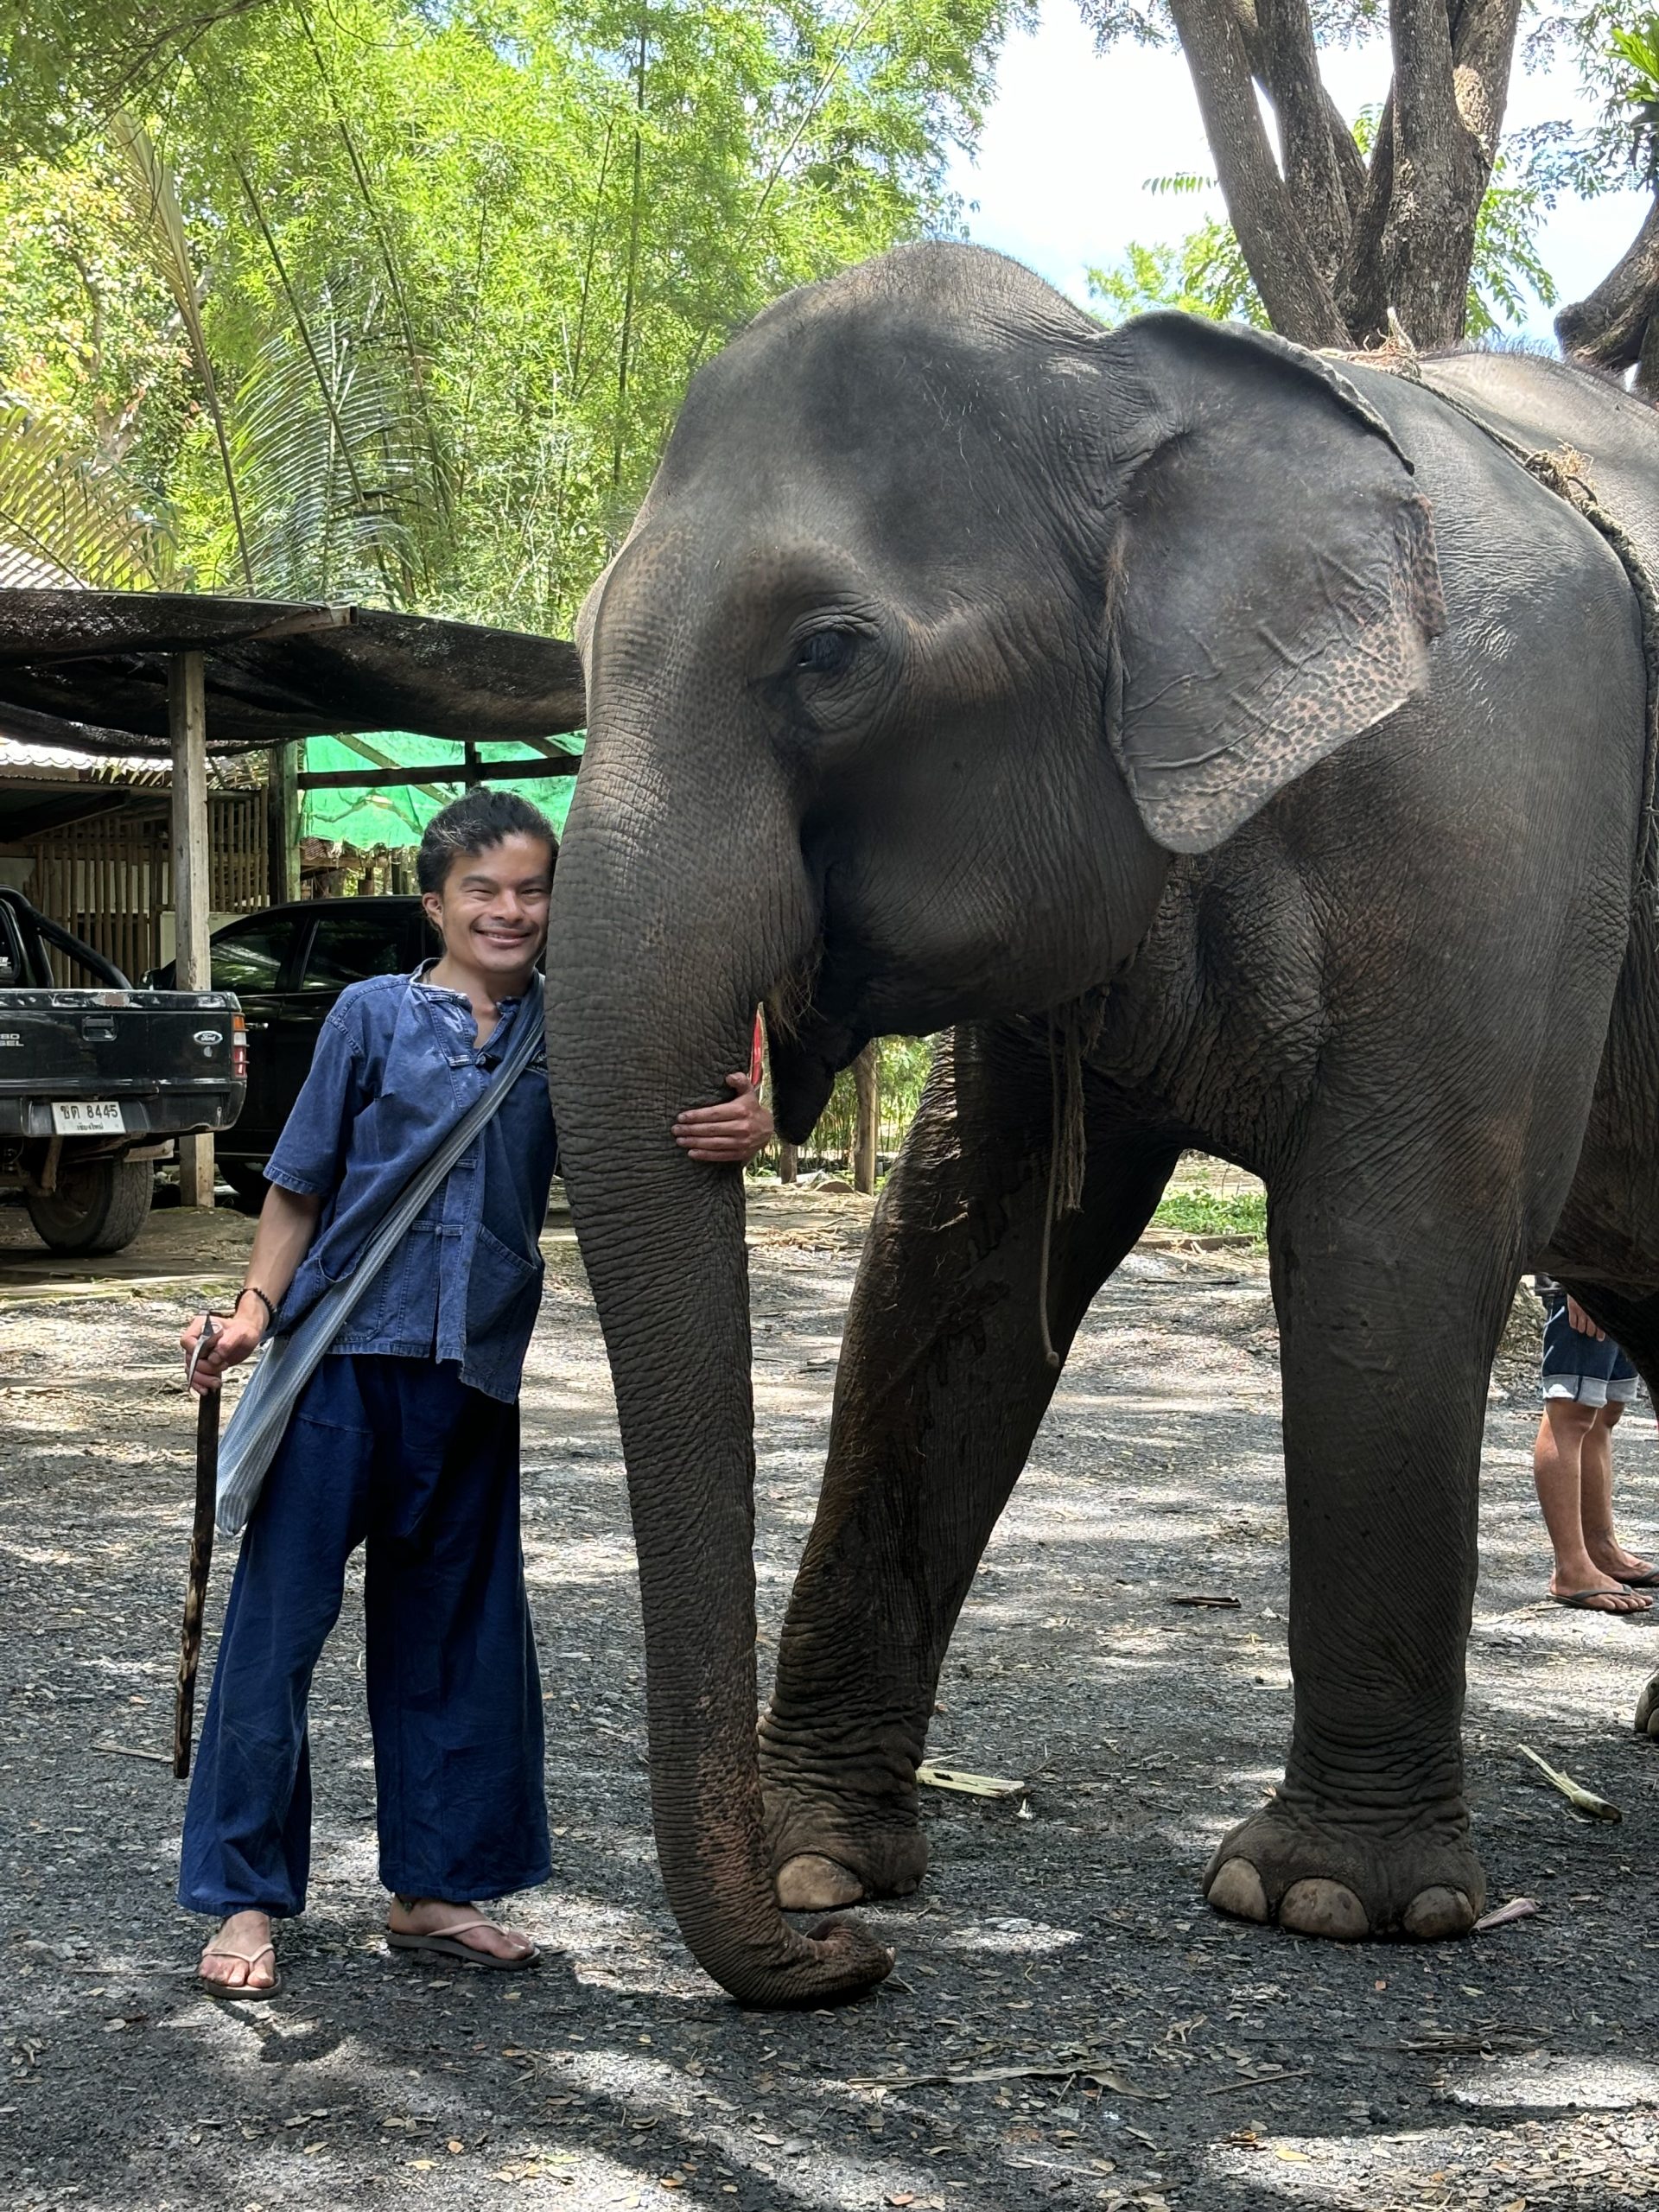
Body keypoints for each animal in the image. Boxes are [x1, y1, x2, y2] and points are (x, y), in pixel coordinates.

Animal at [546, 241, 1659, 2008]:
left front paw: (1327, 1903)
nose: (836, 1961)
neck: (1152, 391)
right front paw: (821, 1854)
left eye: (829, 657)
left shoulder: (1498, 819)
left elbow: (1397, 1257)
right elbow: (950, 1273)